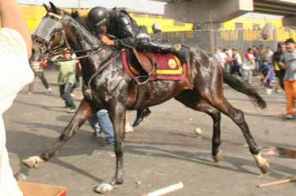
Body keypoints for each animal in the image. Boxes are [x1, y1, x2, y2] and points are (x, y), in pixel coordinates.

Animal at [24, 2, 270, 191]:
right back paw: (216, 151)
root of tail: (212, 58)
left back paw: (260, 160)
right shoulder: (90, 104)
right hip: (189, 97)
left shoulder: (117, 107)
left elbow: (119, 143)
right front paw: (39, 158)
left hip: (211, 92)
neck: (100, 62)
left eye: (53, 29)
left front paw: (114, 181)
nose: (34, 55)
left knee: (237, 115)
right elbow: (66, 132)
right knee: (215, 114)